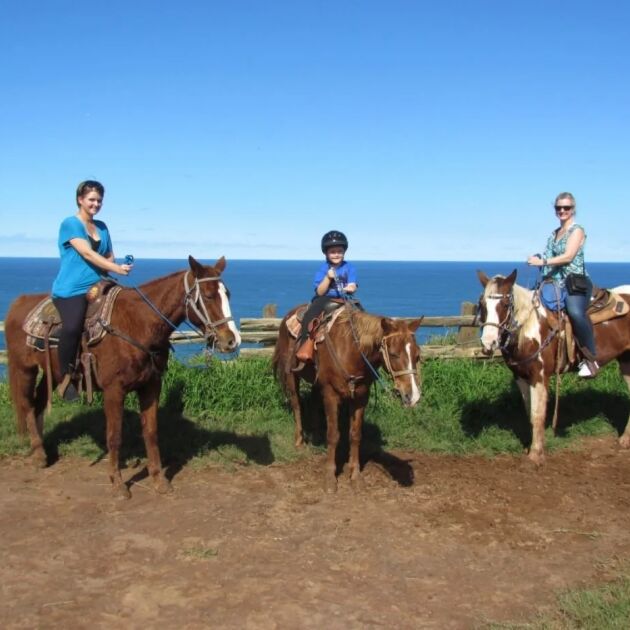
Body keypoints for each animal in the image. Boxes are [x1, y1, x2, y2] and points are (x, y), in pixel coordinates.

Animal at [6, 256, 241, 498]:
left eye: (228, 294)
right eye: (208, 295)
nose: (232, 340)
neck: (138, 324)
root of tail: (19, 302)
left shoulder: (151, 386)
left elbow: (151, 432)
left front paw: (158, 480)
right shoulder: (114, 390)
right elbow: (114, 436)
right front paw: (118, 483)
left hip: (52, 371)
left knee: (38, 403)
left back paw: (41, 449)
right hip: (25, 369)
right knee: (27, 405)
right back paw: (38, 454)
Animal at [272, 306, 424, 494]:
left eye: (417, 355)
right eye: (394, 354)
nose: (413, 395)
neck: (351, 351)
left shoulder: (360, 397)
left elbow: (355, 435)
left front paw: (355, 476)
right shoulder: (331, 394)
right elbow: (333, 435)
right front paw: (330, 478)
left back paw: (316, 436)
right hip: (292, 376)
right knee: (297, 405)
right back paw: (299, 441)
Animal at [478, 270, 630, 466]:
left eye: (504, 304)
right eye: (482, 304)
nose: (488, 343)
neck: (530, 327)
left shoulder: (539, 376)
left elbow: (537, 413)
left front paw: (535, 455)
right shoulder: (521, 377)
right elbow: (530, 413)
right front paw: (533, 448)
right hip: (626, 361)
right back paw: (625, 439)